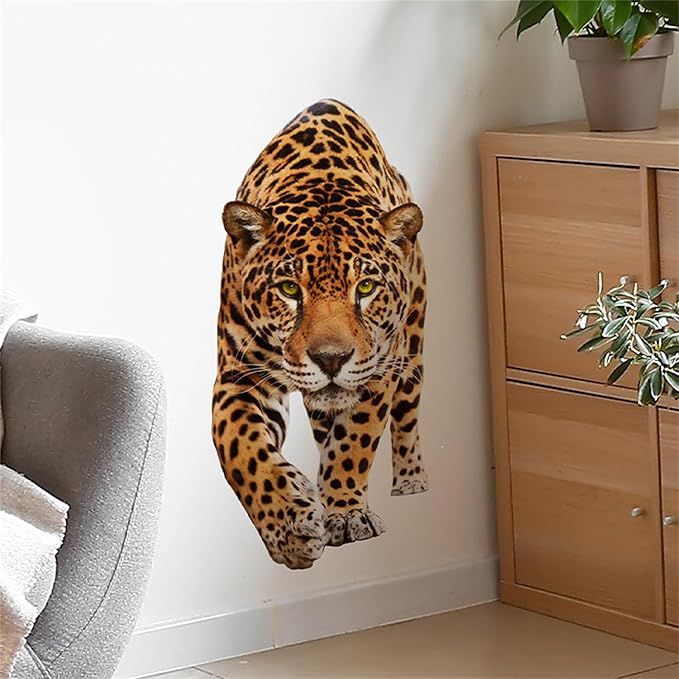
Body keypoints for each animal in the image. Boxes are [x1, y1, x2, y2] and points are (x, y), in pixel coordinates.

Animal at [212, 99, 427, 569]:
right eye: (291, 289)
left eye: (365, 287)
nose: (331, 359)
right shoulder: (239, 376)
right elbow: (241, 450)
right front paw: (290, 528)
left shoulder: (378, 369)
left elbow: (355, 441)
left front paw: (345, 513)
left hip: (414, 349)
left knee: (406, 416)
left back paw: (410, 481)